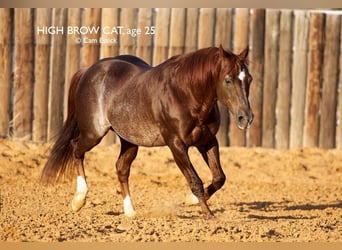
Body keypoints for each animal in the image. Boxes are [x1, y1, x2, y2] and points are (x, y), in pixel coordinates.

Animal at [40, 45, 254, 219]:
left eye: (249, 79)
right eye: (227, 80)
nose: (246, 118)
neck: (185, 94)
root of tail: (88, 71)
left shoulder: (207, 141)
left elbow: (219, 177)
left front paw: (191, 200)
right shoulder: (176, 145)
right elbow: (195, 180)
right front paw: (208, 215)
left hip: (129, 140)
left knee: (121, 168)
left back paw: (130, 212)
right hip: (93, 133)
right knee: (76, 148)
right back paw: (79, 200)